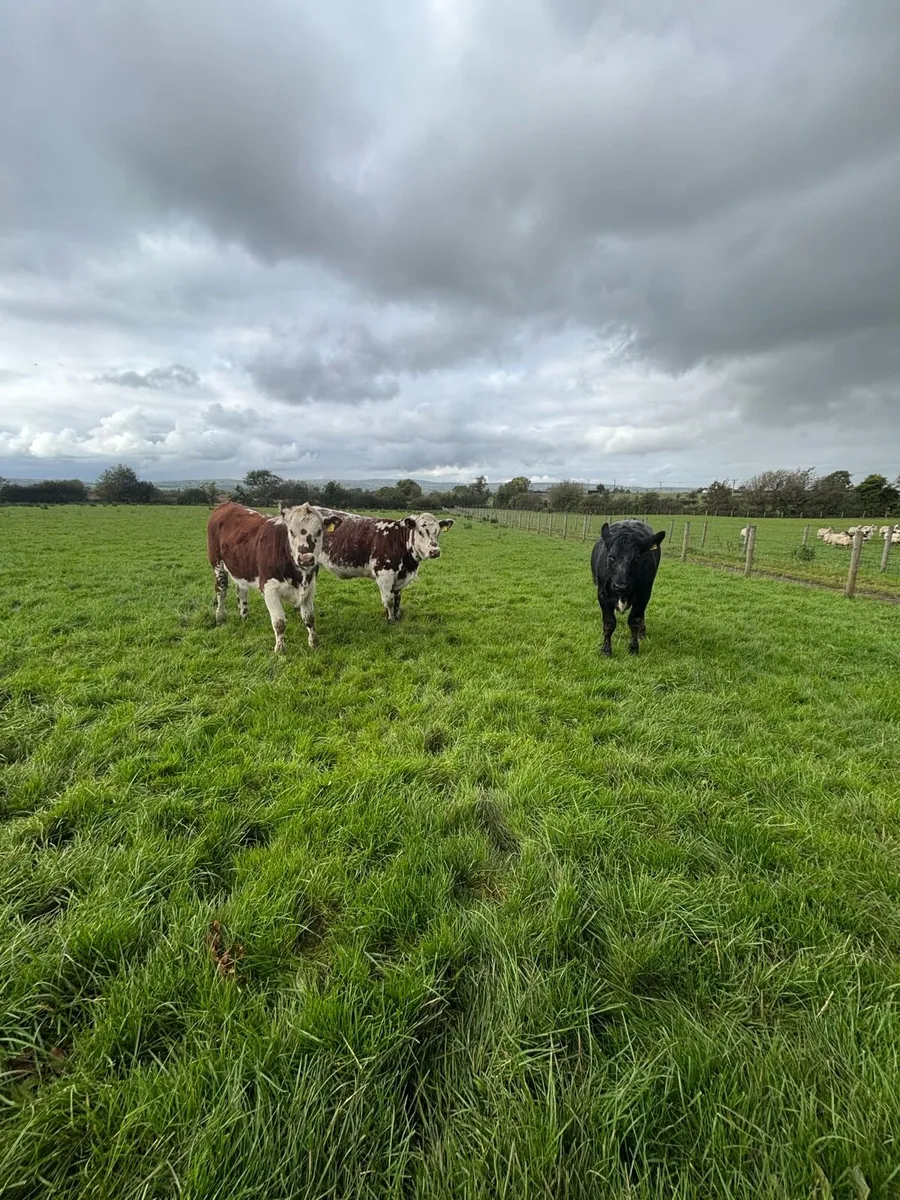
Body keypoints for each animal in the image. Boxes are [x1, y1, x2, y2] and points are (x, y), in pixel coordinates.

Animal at [206, 502, 342, 654]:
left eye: (319, 531)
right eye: (291, 531)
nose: (305, 559)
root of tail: (226, 504)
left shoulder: (310, 587)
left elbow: (309, 618)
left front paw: (314, 643)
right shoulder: (269, 589)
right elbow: (279, 622)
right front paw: (280, 649)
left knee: (241, 590)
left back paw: (244, 616)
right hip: (217, 563)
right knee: (221, 590)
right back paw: (220, 617)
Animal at [312, 509, 454, 621]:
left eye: (438, 532)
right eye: (420, 531)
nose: (435, 551)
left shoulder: (399, 577)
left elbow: (397, 599)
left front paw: (396, 617)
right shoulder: (384, 575)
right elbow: (389, 600)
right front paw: (390, 619)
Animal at [591, 520, 665, 657]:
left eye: (636, 558)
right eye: (611, 556)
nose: (621, 585)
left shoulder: (643, 595)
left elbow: (634, 621)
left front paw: (633, 648)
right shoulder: (602, 594)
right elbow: (609, 622)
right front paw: (606, 650)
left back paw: (642, 633)